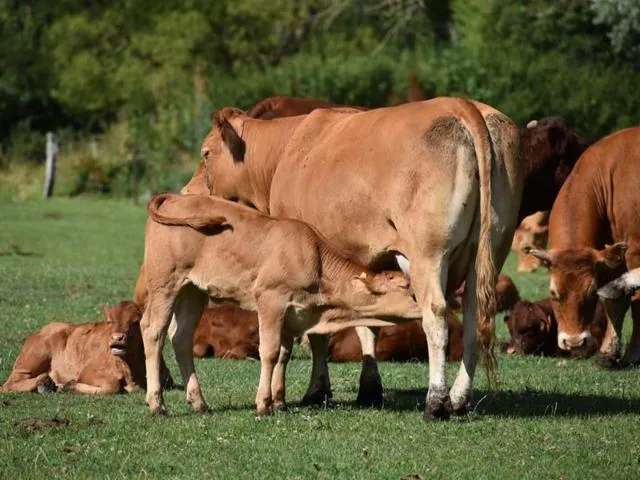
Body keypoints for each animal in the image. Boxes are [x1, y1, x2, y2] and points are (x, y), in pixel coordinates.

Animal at [0, 302, 174, 396]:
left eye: (135, 322)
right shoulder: (88, 372)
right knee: (8, 385)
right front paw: (68, 386)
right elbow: (112, 385)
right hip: (31, 362)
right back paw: (45, 382)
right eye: (110, 321)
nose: (117, 338)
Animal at [140, 191, 422, 416]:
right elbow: (270, 351)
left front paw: (279, 401)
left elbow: (284, 356)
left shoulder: (292, 314)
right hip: (164, 282)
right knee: (153, 330)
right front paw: (264, 404)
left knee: (181, 337)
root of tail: (175, 197)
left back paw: (199, 403)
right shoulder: (271, 300)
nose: (428, 304)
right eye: (408, 289)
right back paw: (157, 404)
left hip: (193, 290)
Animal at [524, 126, 640, 368]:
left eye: (590, 293)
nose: (574, 342)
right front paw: (607, 353)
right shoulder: (613, 258)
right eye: (553, 293)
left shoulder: (635, 251)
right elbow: (614, 299)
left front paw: (633, 353)